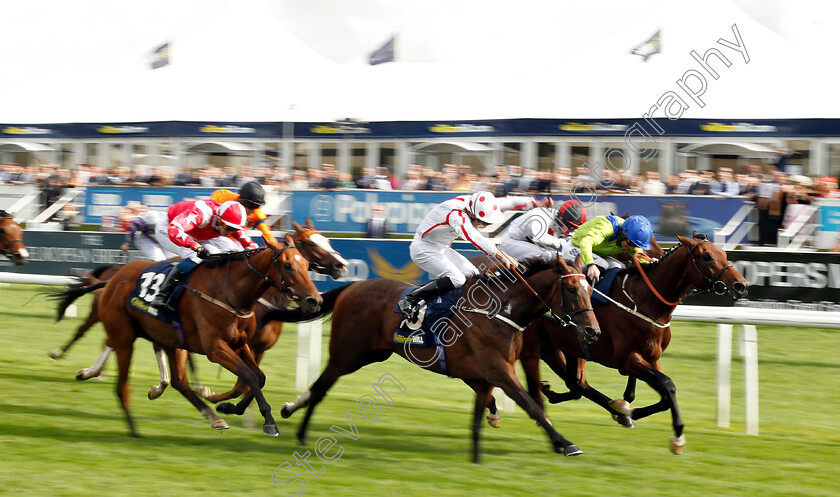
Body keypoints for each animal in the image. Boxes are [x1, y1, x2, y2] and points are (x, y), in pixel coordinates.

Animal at [262, 256, 596, 462]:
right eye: (571, 289)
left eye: (590, 287)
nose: (593, 330)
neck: (500, 310)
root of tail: (355, 286)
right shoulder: (499, 371)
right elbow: (532, 406)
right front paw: (565, 443)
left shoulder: (485, 376)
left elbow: (479, 418)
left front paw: (476, 459)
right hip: (347, 354)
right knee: (320, 387)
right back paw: (299, 429)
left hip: (371, 354)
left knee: (320, 387)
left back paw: (293, 413)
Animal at [520, 232, 748, 454]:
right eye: (707, 256)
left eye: (725, 255)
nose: (741, 285)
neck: (645, 301)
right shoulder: (628, 359)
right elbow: (668, 384)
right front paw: (677, 436)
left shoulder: (652, 357)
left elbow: (664, 396)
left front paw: (627, 410)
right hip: (539, 346)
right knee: (561, 387)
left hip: (565, 348)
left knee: (576, 384)